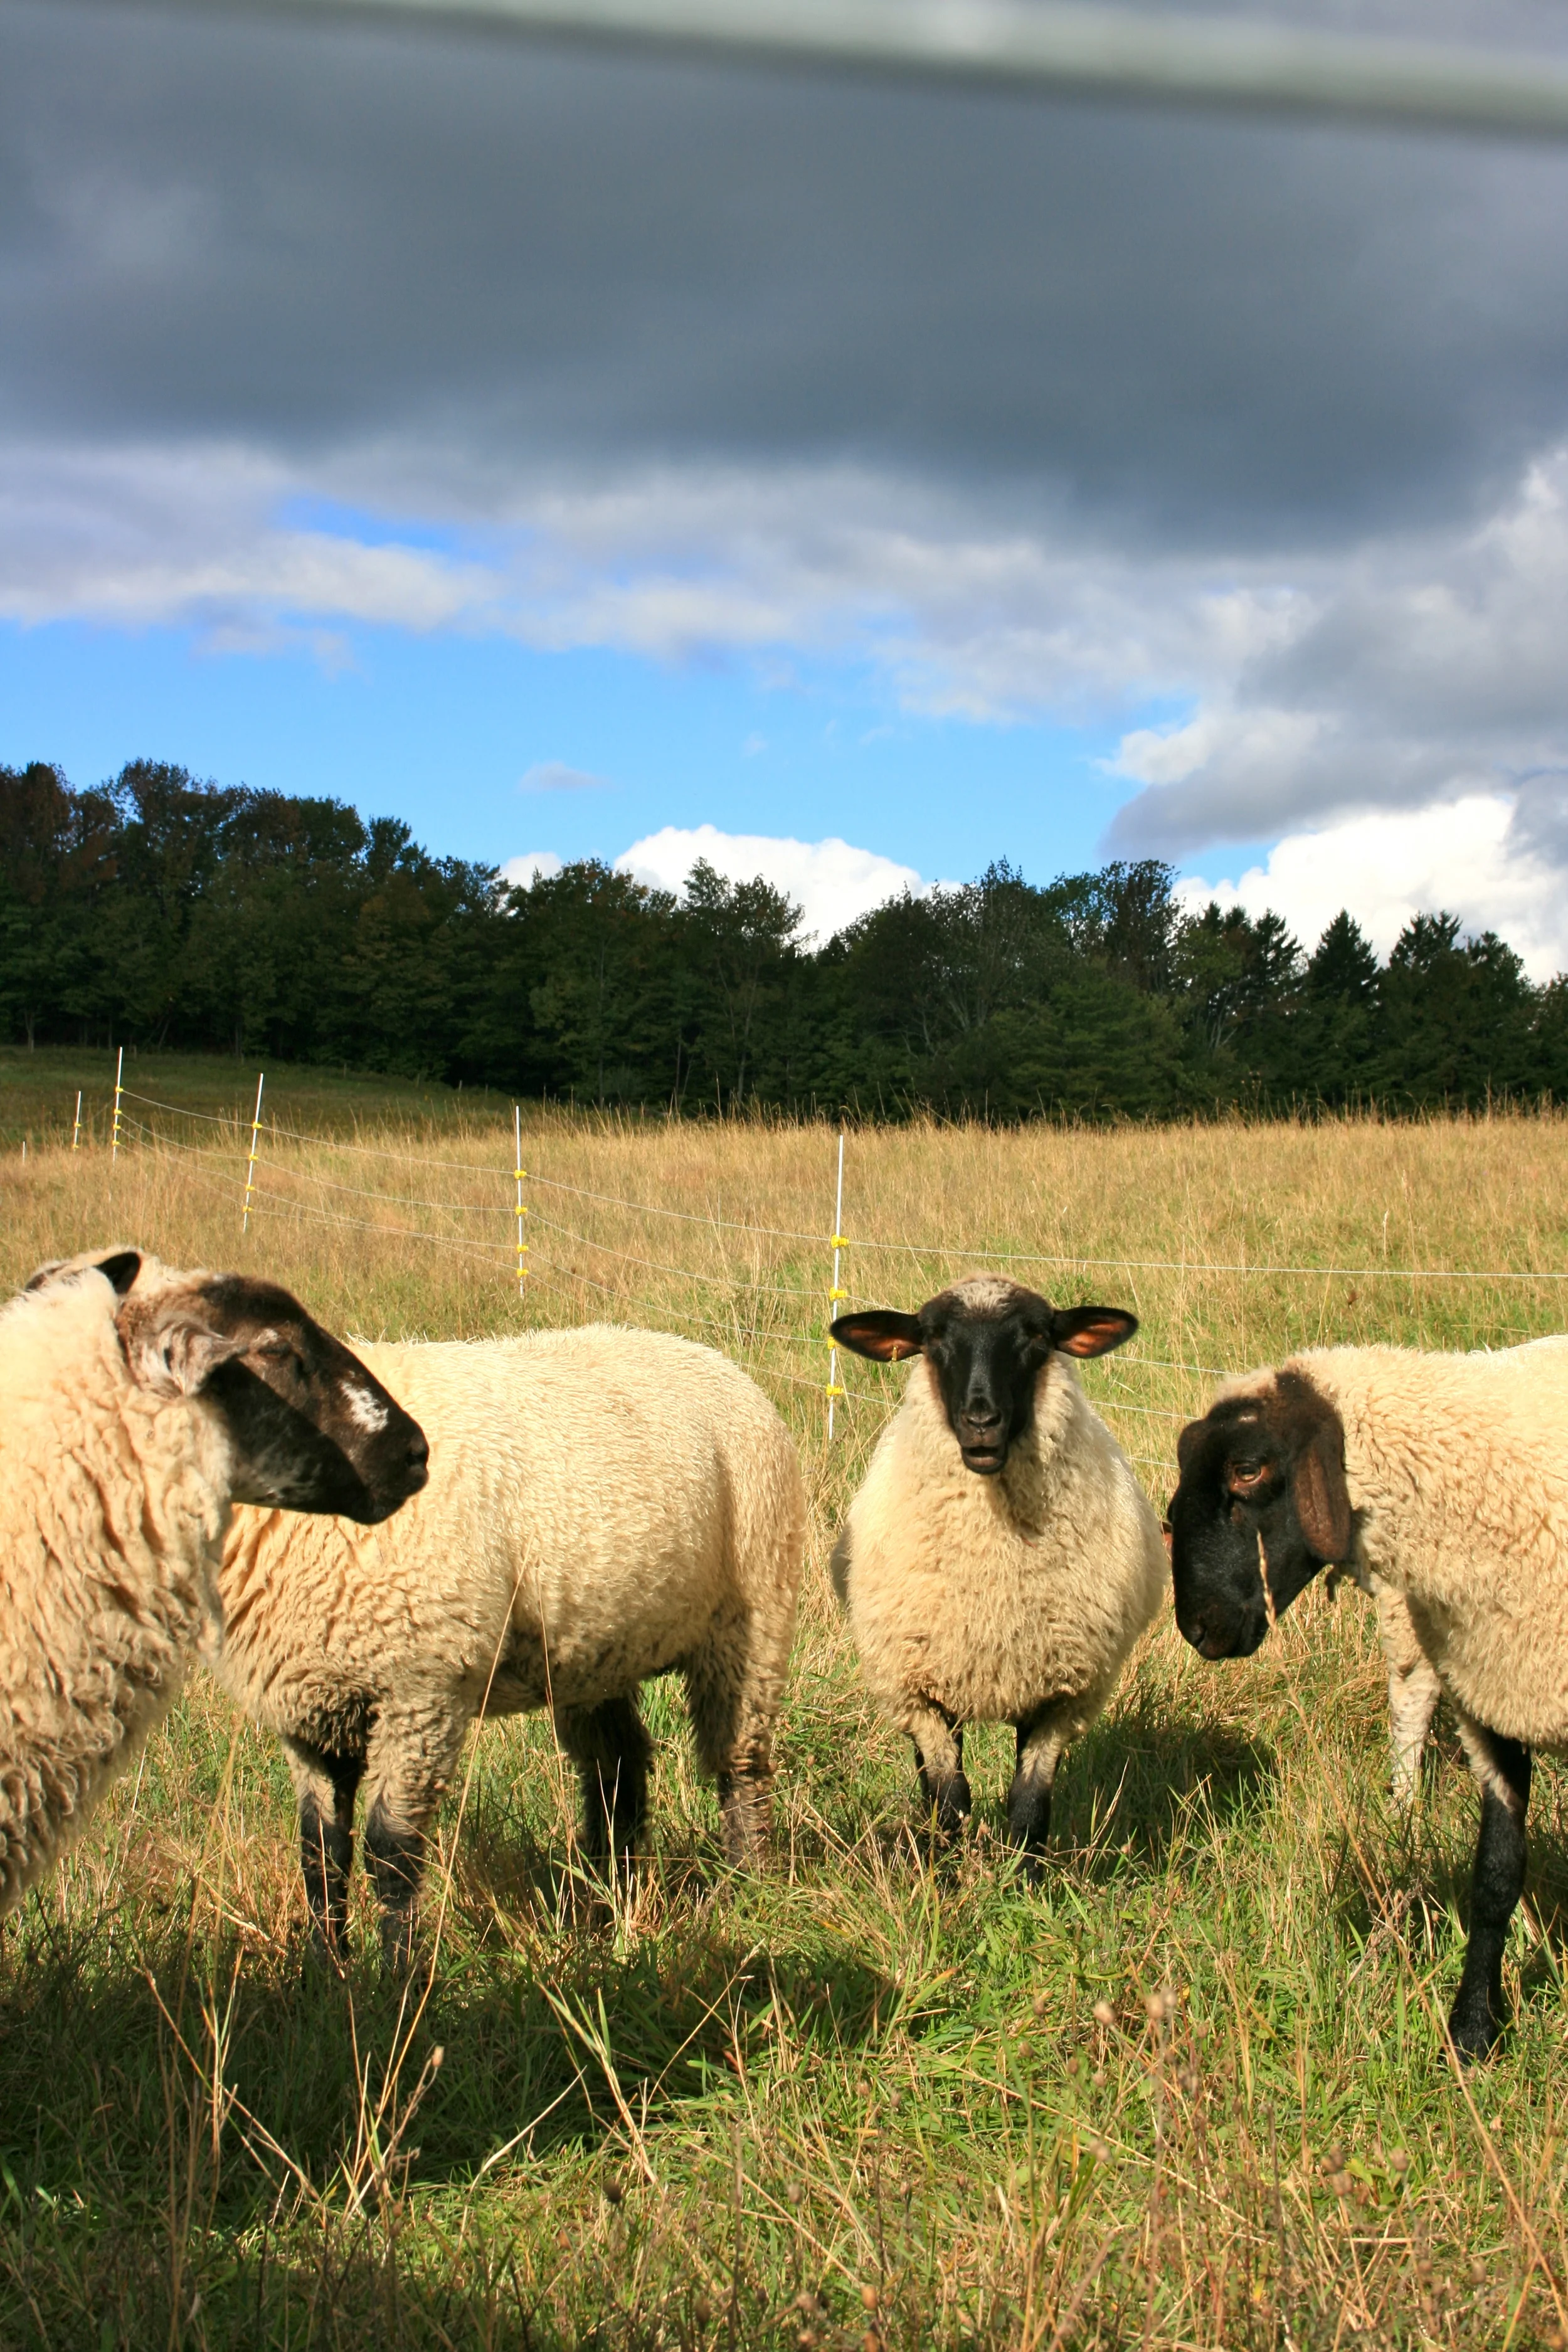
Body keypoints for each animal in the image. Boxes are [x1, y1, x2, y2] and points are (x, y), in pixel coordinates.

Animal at [206, 1324, 806, 1967]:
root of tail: (717, 1362)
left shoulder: (422, 1691)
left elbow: (392, 1851)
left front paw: (396, 1978)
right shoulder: (310, 1708)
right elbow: (321, 1852)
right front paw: (328, 1968)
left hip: (752, 1615)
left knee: (739, 1764)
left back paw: (743, 1888)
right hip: (600, 1649)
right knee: (617, 1766)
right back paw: (606, 1898)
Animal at [829, 1276, 1166, 1880]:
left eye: (1037, 1337)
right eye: (933, 1338)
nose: (981, 1422)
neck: (992, 1577)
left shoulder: (1062, 1693)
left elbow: (1030, 1802)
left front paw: (1027, 1884)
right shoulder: (919, 1691)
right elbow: (948, 1799)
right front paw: (946, 1879)